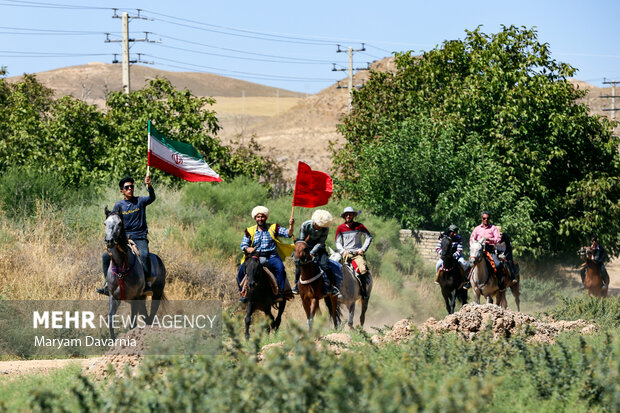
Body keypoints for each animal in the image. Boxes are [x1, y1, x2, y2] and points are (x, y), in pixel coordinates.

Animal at [104, 206, 167, 338]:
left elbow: (132, 323)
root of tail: (159, 261)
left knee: (151, 315)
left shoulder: (134, 298)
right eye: (105, 223)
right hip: (142, 299)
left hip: (156, 293)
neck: (121, 267)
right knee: (146, 316)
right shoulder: (113, 297)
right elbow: (110, 320)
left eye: (119, 223)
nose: (109, 241)